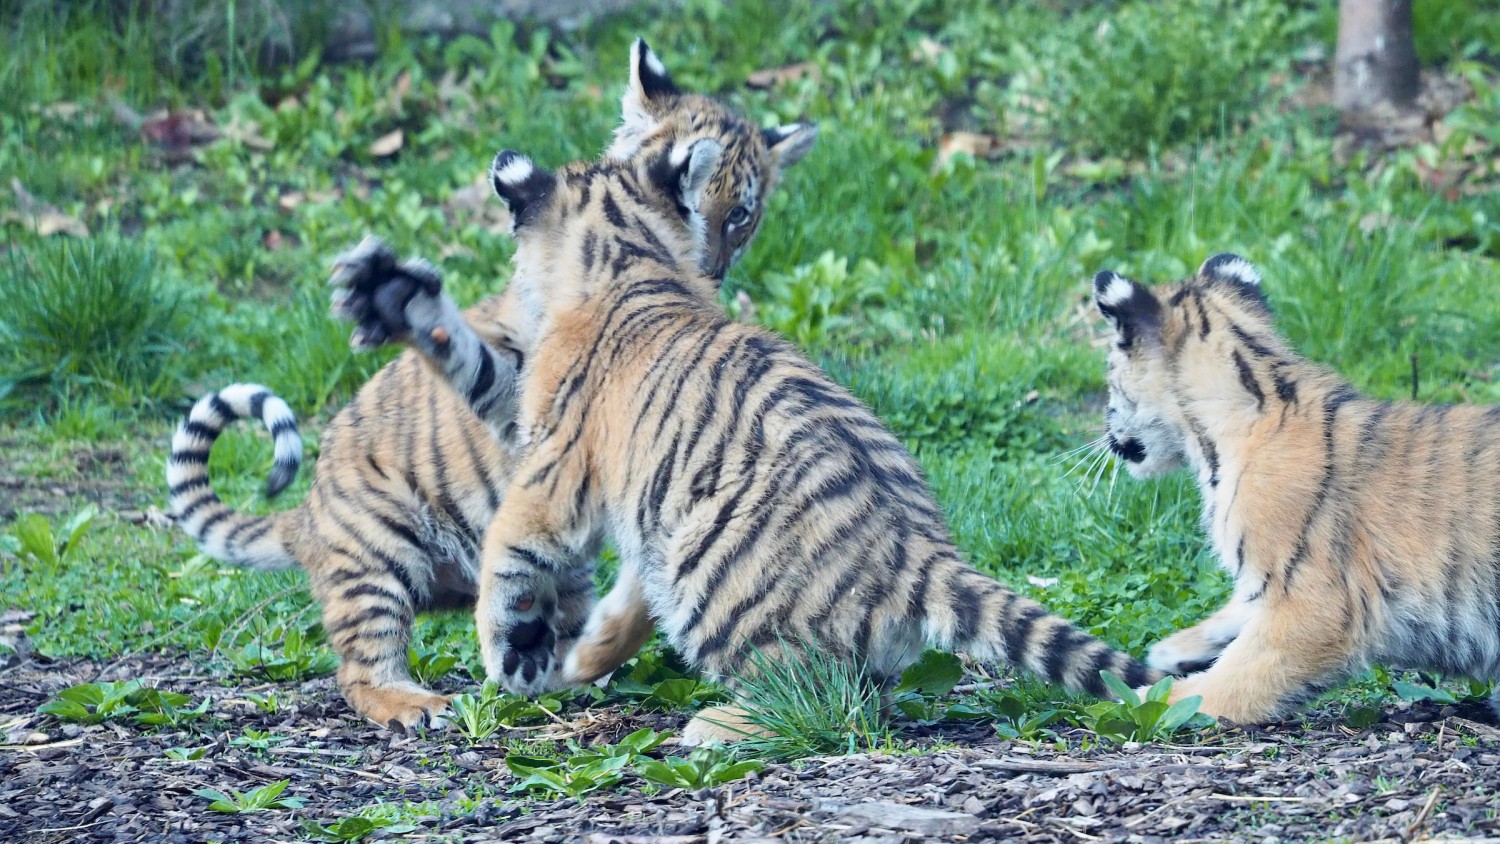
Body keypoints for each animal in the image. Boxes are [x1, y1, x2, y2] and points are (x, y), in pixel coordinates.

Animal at [165, 39, 818, 730]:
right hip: (380, 552)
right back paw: (418, 703)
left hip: (553, 568)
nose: (708, 270)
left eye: (740, 213)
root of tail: (308, 516)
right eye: (696, 197)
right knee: (360, 668)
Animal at [330, 138, 1161, 745]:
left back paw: (717, 723)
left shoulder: (554, 468)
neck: (630, 258)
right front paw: (589, 650)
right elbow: (625, 598)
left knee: (824, 701)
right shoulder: (639, 505)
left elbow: (510, 550)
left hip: (712, 576)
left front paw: (508, 652)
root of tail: (920, 552)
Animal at [1093, 253, 1500, 723]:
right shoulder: (1270, 585)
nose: (1107, 436)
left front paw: (1143, 699)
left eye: (1110, 374)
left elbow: (1227, 683)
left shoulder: (1313, 607)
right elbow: (1239, 608)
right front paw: (1175, 648)